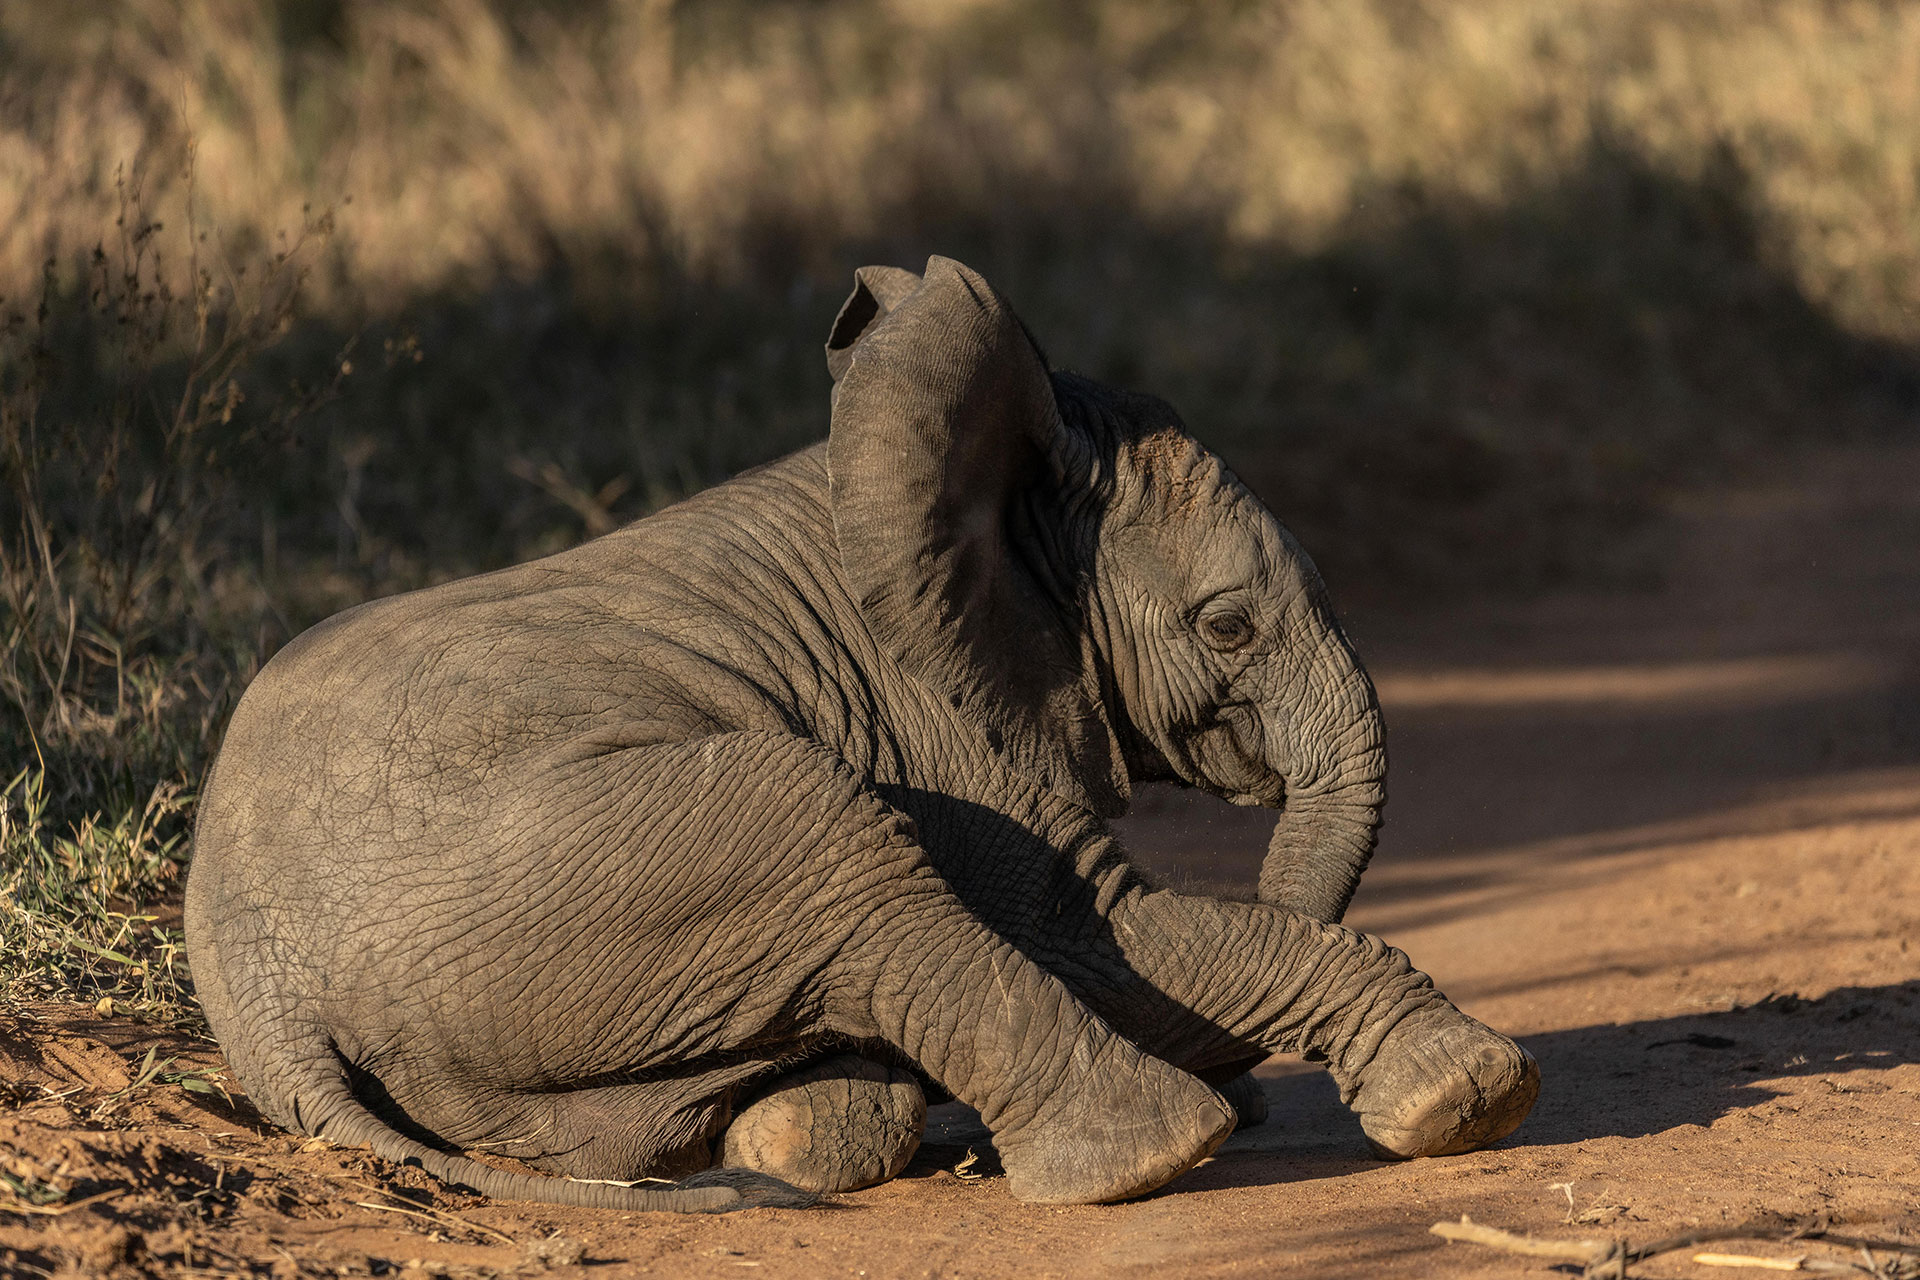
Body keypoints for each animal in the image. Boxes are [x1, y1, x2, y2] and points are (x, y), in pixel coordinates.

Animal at [184, 256, 1538, 1214]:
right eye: (1229, 624)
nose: (1250, 1095)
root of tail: (260, 991)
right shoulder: (937, 719)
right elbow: (1097, 938)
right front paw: (1470, 1092)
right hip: (566, 867)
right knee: (836, 848)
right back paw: (1149, 1151)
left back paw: (821, 1120)